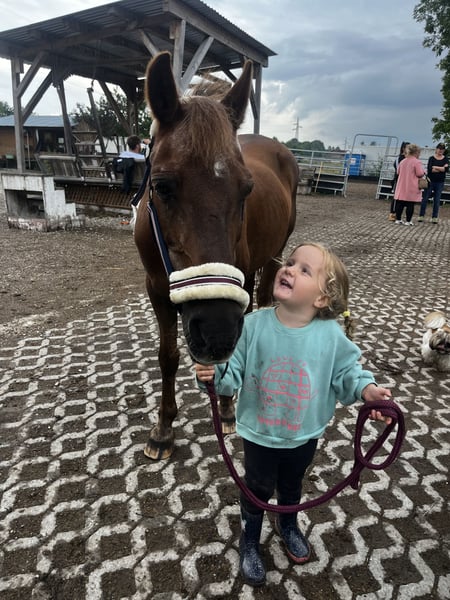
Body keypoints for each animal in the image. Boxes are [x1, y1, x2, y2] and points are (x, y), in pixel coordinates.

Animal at [134, 51, 299, 459]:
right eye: (162, 186)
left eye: (246, 189)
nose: (216, 330)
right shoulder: (156, 288)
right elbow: (167, 357)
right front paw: (163, 429)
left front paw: (225, 410)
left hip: (271, 258)